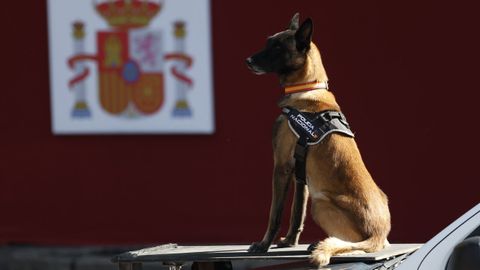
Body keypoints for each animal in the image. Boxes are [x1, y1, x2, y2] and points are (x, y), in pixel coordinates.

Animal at [246, 13, 392, 266]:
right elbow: (296, 212)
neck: (307, 87)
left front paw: (263, 245)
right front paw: (289, 242)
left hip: (321, 204)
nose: (248, 60)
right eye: (268, 42)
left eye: (277, 47)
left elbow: (275, 213)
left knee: (352, 244)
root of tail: (378, 233)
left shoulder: (282, 167)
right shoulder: (300, 174)